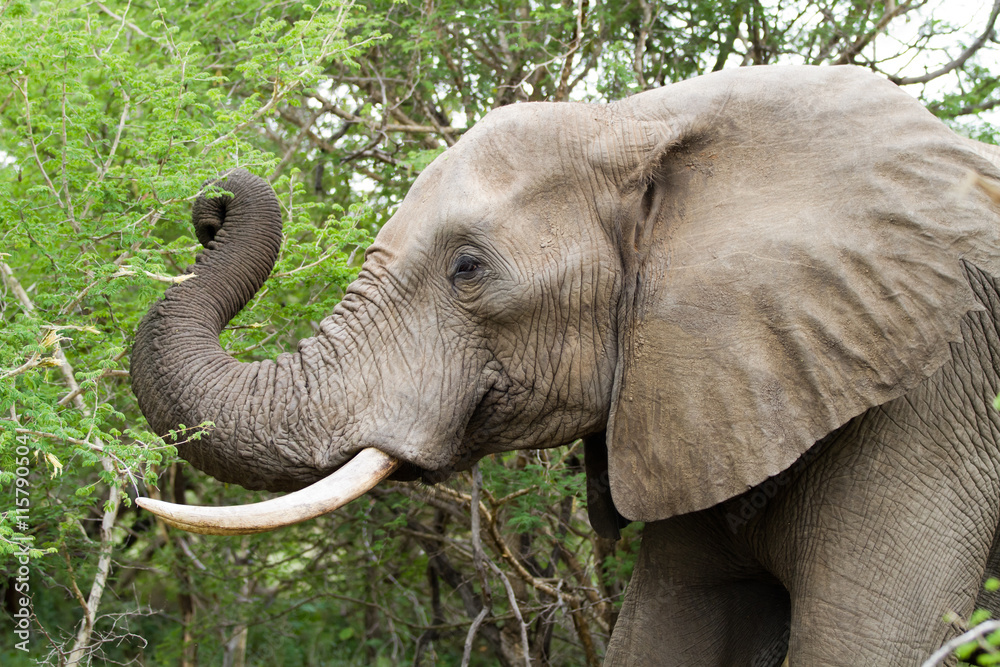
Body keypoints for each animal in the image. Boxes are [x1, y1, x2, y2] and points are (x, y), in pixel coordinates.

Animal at [130, 65, 1000, 665]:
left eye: (468, 269)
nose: (212, 203)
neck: (639, 122)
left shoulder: (929, 399)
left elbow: (869, 641)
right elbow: (663, 632)